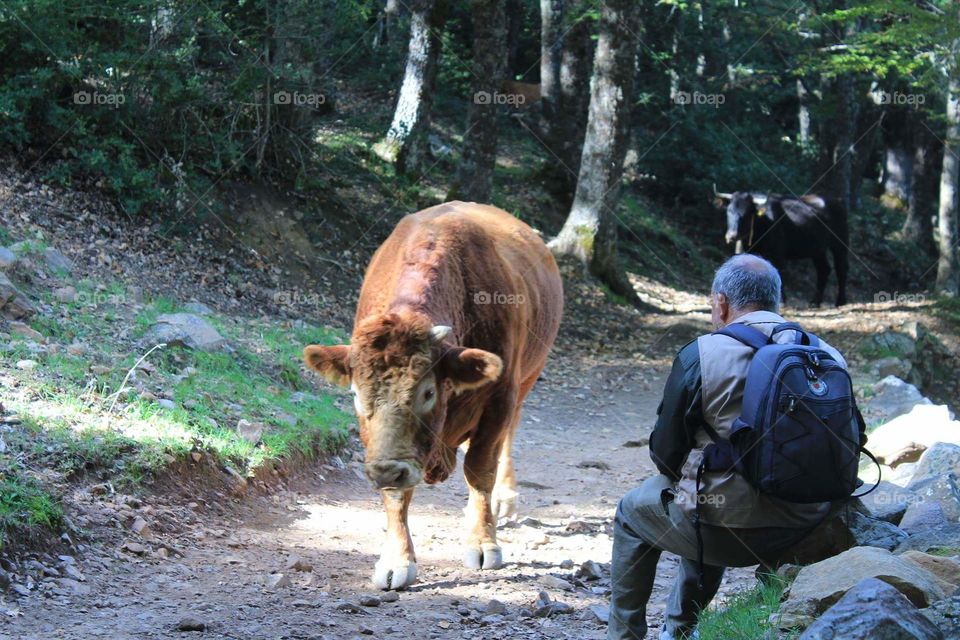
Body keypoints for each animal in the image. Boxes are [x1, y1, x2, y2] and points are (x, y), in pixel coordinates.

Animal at [303, 201, 563, 590]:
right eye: (356, 394)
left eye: (427, 392)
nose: (386, 470)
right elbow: (398, 495)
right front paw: (396, 559)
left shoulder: (500, 395)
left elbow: (480, 469)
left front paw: (483, 543)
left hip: (528, 376)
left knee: (508, 436)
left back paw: (503, 500)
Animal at [715, 189, 849, 307]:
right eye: (729, 211)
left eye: (747, 212)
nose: (732, 235)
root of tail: (837, 202)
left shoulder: (778, 254)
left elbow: (780, 272)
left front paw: (782, 301)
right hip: (818, 250)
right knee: (823, 269)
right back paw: (815, 302)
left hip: (840, 244)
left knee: (841, 268)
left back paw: (840, 301)